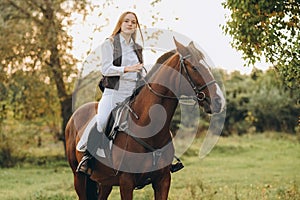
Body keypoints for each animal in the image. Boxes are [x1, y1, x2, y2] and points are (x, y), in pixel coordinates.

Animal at [65, 38, 225, 199]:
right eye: (194, 68)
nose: (219, 101)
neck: (147, 126)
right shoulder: (126, 182)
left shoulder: (163, 181)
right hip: (79, 178)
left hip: (105, 183)